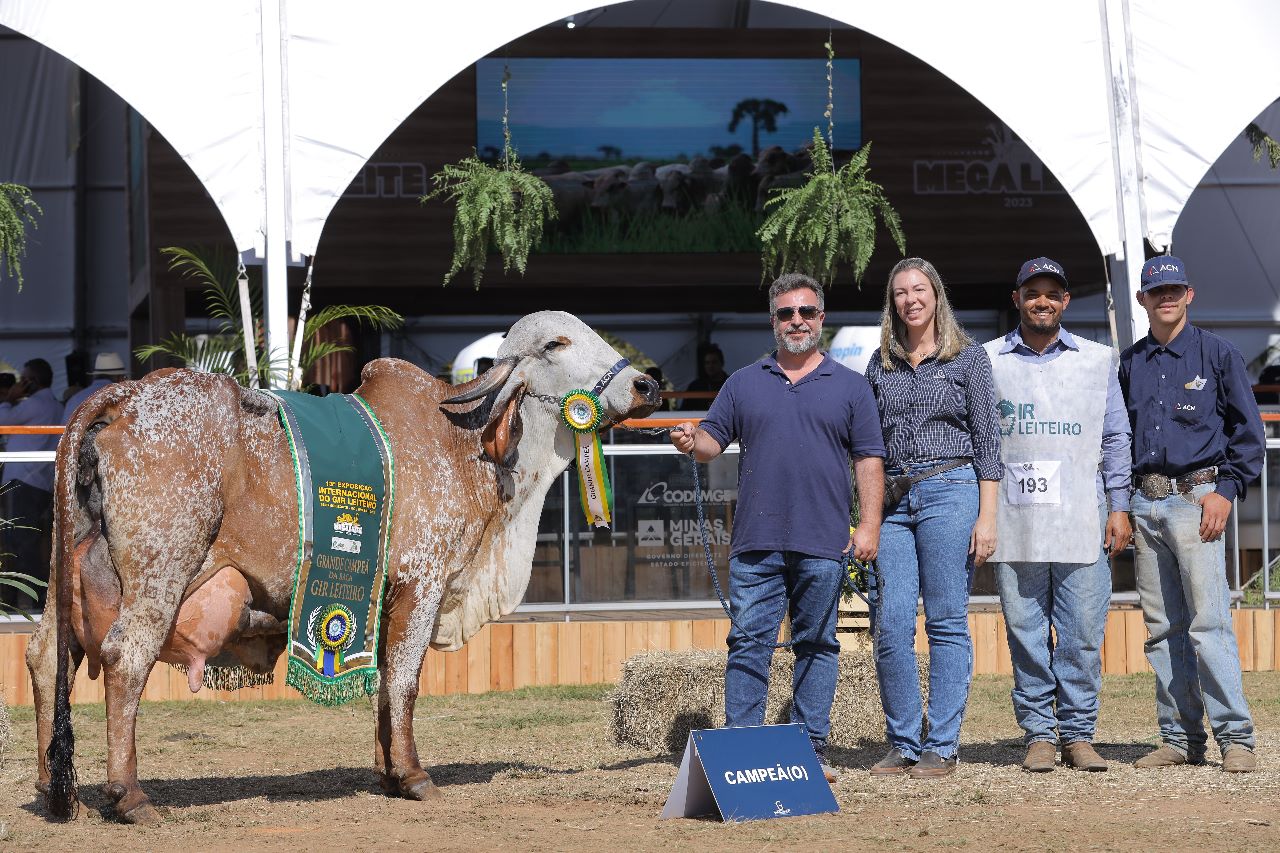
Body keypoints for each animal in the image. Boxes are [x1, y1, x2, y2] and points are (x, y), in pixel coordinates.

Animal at [30, 308, 660, 819]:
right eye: (557, 343)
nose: (646, 384)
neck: (466, 445)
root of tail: (126, 396)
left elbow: (383, 683)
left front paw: (387, 772)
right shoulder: (423, 581)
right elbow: (404, 680)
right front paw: (413, 776)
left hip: (69, 575)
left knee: (47, 656)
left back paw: (54, 790)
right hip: (161, 571)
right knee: (125, 658)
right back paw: (128, 796)